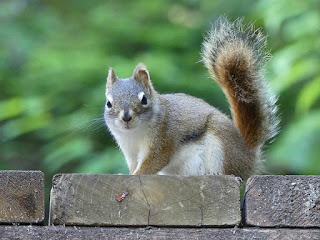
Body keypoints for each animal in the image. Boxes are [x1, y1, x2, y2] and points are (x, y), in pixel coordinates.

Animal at [104, 17, 278, 181]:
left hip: (221, 148)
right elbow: (134, 165)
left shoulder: (164, 139)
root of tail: (248, 157)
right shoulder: (130, 151)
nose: (126, 117)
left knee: (232, 172)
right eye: (108, 103)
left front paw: (136, 175)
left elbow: (153, 162)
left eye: (144, 99)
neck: (134, 134)